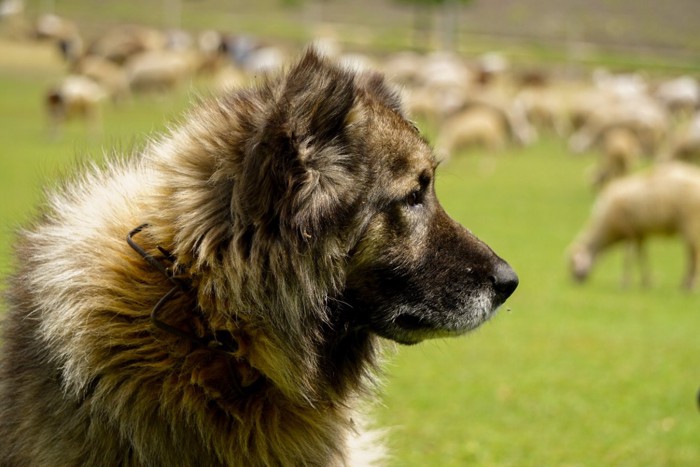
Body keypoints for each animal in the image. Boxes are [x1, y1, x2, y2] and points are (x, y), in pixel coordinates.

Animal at [568, 163, 700, 290]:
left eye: (573, 264)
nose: (575, 282)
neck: (606, 227)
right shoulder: (639, 234)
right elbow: (642, 256)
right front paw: (646, 281)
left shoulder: (629, 231)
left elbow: (628, 257)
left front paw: (625, 282)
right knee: (690, 254)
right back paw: (685, 283)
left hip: (691, 223)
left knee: (694, 254)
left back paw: (691, 285)